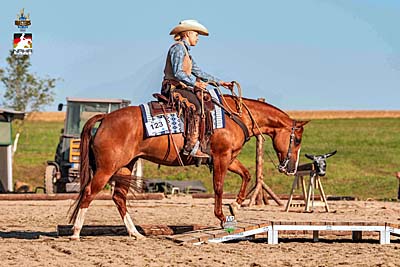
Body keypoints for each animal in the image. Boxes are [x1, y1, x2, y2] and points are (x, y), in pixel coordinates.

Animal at [69, 96, 306, 241]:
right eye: (296, 140)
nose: (291, 168)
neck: (235, 116)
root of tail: (106, 117)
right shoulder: (221, 157)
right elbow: (218, 187)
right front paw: (222, 217)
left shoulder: (229, 158)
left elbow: (246, 175)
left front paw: (236, 206)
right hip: (107, 168)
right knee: (88, 193)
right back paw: (76, 232)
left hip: (125, 168)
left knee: (119, 198)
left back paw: (135, 233)